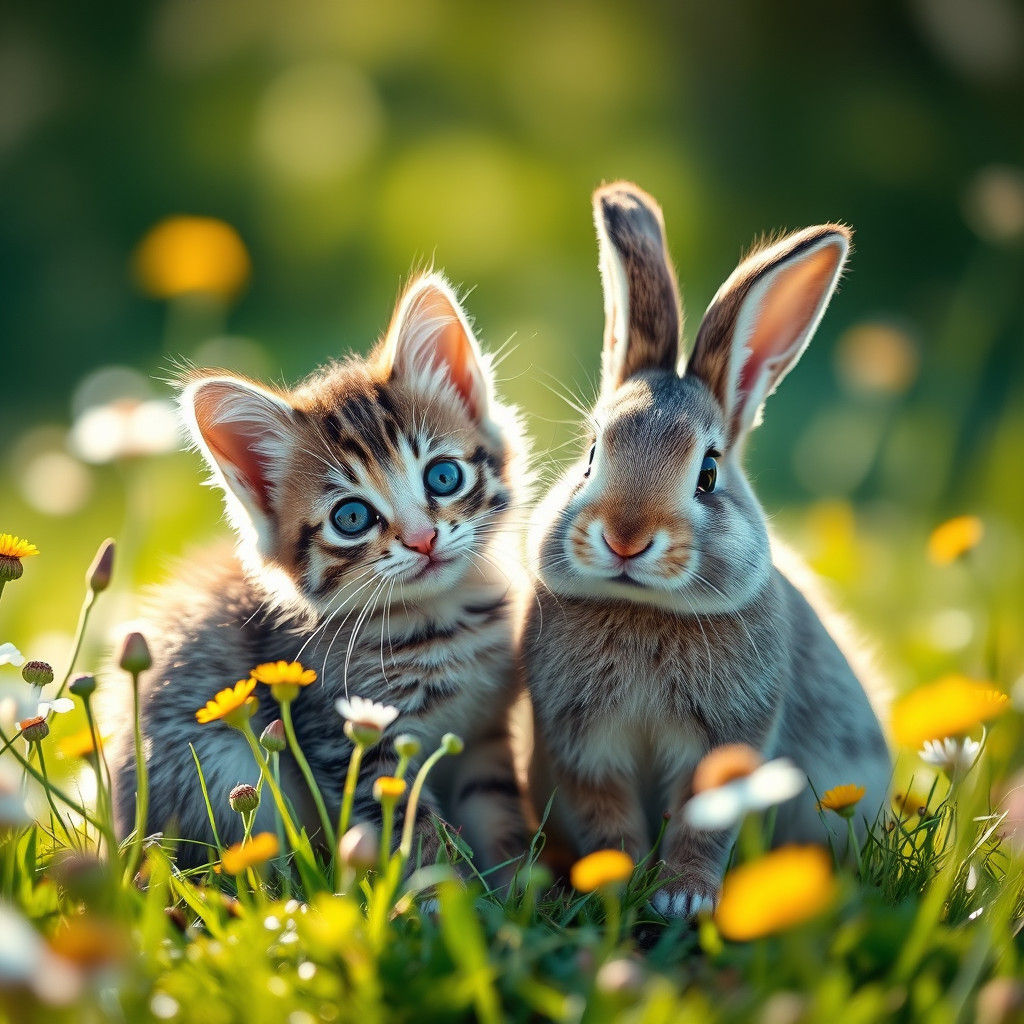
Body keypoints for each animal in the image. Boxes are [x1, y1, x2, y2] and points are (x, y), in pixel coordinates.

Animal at [521, 181, 891, 918]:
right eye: (591, 454)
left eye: (709, 473)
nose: (625, 536)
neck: (643, 610)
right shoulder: (583, 749)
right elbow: (608, 820)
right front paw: (619, 884)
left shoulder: (724, 747)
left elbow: (702, 824)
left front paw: (683, 900)